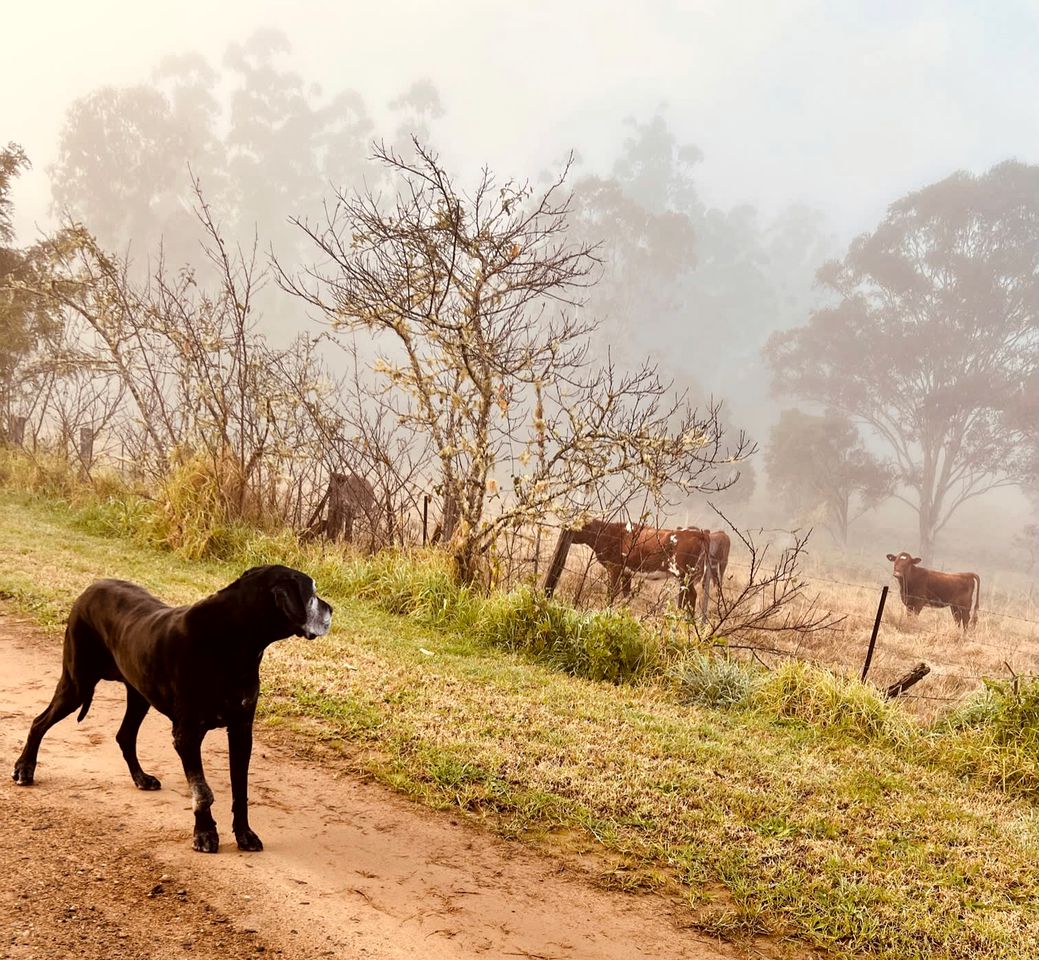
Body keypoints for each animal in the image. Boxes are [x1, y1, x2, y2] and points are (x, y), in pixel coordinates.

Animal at [12, 565, 332, 851]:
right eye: (312, 594)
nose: (332, 610)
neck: (232, 641)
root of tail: (90, 588)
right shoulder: (187, 734)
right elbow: (202, 792)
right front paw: (204, 834)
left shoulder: (241, 730)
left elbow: (240, 789)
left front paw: (244, 834)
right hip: (76, 684)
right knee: (39, 722)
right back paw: (24, 769)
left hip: (138, 695)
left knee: (124, 736)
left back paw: (141, 778)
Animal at [565, 521, 710, 610]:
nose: (565, 527)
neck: (609, 534)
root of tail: (697, 533)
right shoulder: (626, 573)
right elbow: (626, 594)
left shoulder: (614, 568)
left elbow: (611, 593)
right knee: (685, 597)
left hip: (684, 574)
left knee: (691, 596)